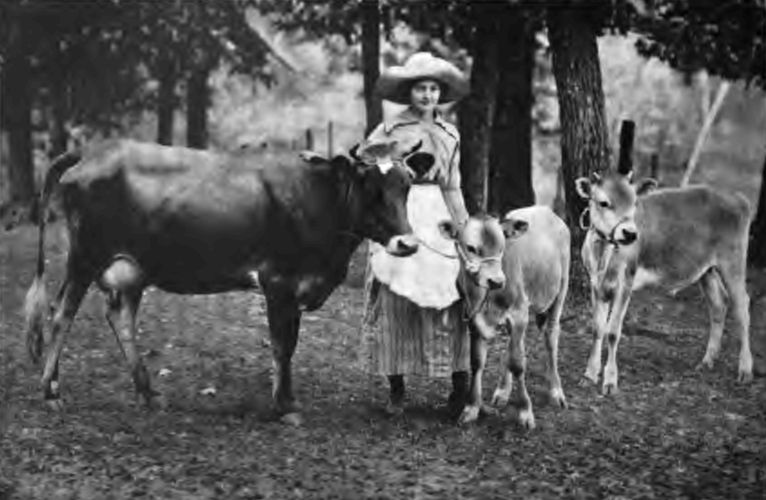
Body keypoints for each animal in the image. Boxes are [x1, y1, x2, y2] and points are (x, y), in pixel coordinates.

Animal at [24, 139, 428, 424]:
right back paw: (51, 392)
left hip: (130, 269)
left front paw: (286, 400)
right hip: (85, 256)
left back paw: (147, 392)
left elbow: (290, 343)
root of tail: (92, 150)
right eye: (370, 187)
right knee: (61, 314)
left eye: (407, 186)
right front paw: (284, 407)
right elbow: (282, 345)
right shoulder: (277, 280)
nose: (408, 243)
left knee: (120, 318)